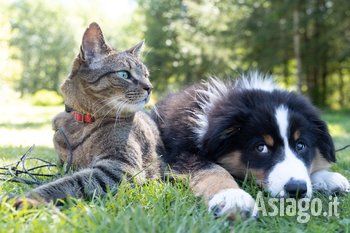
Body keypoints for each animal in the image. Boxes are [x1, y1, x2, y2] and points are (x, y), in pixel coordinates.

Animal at [13, 22, 162, 208]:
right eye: (124, 74)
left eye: (146, 75)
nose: (150, 87)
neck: (82, 122)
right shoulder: (64, 163)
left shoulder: (120, 167)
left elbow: (69, 182)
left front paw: (29, 199)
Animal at [151, 72, 350, 218]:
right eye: (261, 148)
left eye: (301, 145)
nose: (297, 189)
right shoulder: (181, 154)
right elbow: (212, 169)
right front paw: (232, 197)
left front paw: (327, 178)